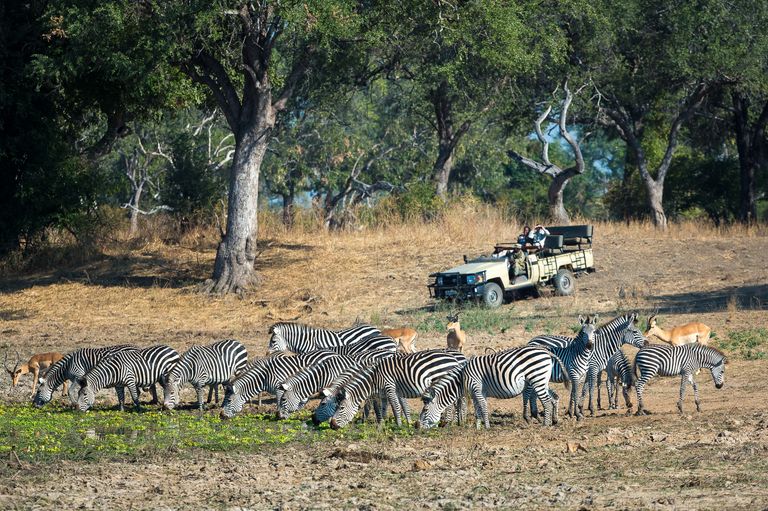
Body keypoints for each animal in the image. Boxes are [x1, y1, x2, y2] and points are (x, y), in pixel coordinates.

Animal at [329, 349, 464, 429]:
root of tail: (453, 359)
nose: (332, 425)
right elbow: (384, 409)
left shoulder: (390, 388)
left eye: (341, 408)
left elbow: (396, 407)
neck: (375, 378)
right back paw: (453, 422)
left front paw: (398, 425)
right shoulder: (384, 394)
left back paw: (446, 423)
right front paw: (381, 425)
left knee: (450, 403)